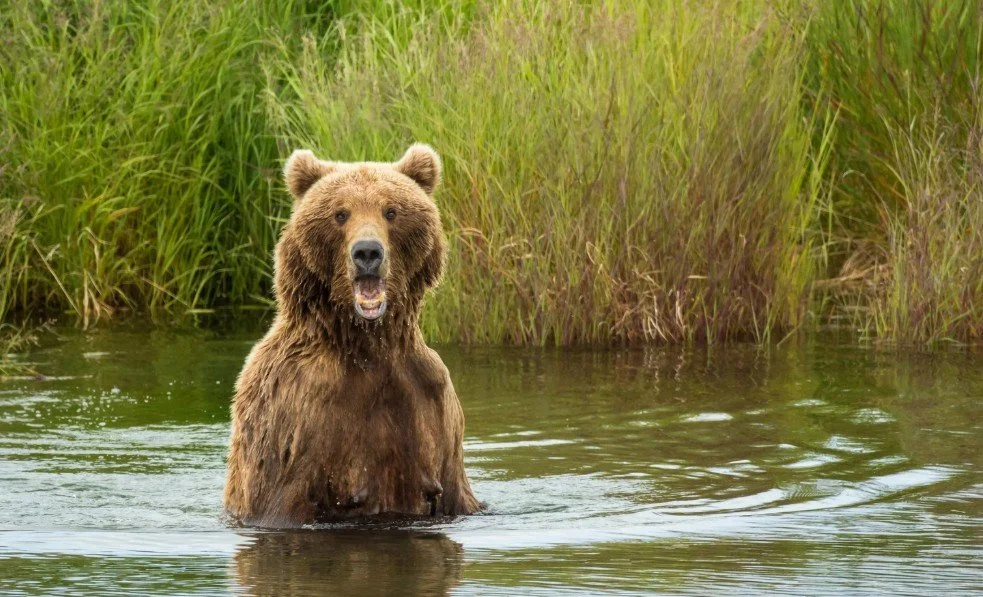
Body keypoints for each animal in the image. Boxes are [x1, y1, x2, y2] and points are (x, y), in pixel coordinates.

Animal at [223, 144, 481, 527]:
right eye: (340, 214)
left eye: (391, 211)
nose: (367, 252)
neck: (368, 341)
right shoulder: (299, 409)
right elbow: (281, 499)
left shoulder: (431, 398)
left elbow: (455, 491)